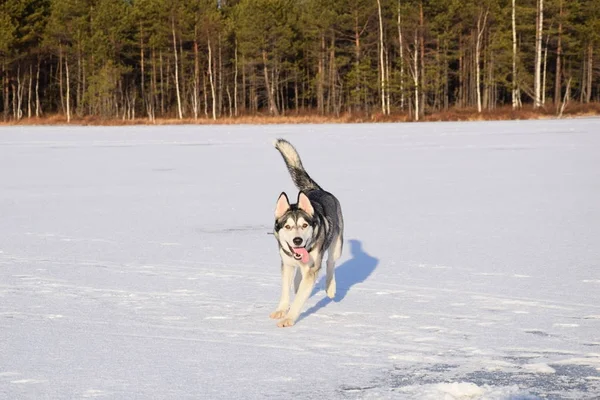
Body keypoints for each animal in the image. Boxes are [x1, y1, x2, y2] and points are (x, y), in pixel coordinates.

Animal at [270, 139, 344, 326]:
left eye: (304, 225)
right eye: (288, 226)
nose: (297, 241)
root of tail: (314, 189)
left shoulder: (311, 269)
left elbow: (299, 299)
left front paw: (289, 319)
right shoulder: (287, 264)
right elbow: (285, 290)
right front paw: (281, 310)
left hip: (337, 245)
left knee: (330, 262)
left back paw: (330, 288)